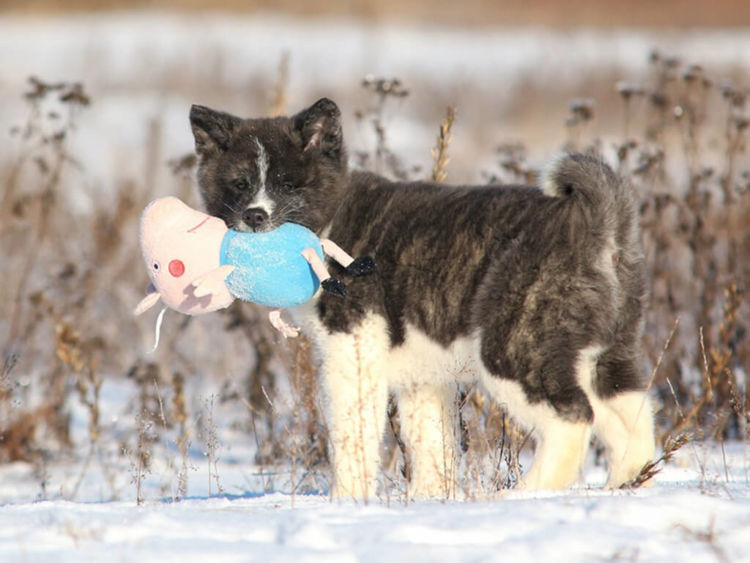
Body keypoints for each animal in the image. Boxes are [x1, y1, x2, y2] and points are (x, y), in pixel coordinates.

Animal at [189, 99, 656, 500]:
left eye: (288, 184)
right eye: (239, 185)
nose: (255, 216)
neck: (331, 221)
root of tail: (597, 222)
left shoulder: (352, 349)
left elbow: (353, 434)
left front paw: (346, 501)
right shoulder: (422, 375)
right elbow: (431, 444)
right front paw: (430, 500)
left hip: (514, 345)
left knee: (572, 417)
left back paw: (521, 494)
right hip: (607, 351)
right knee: (632, 417)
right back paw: (627, 486)